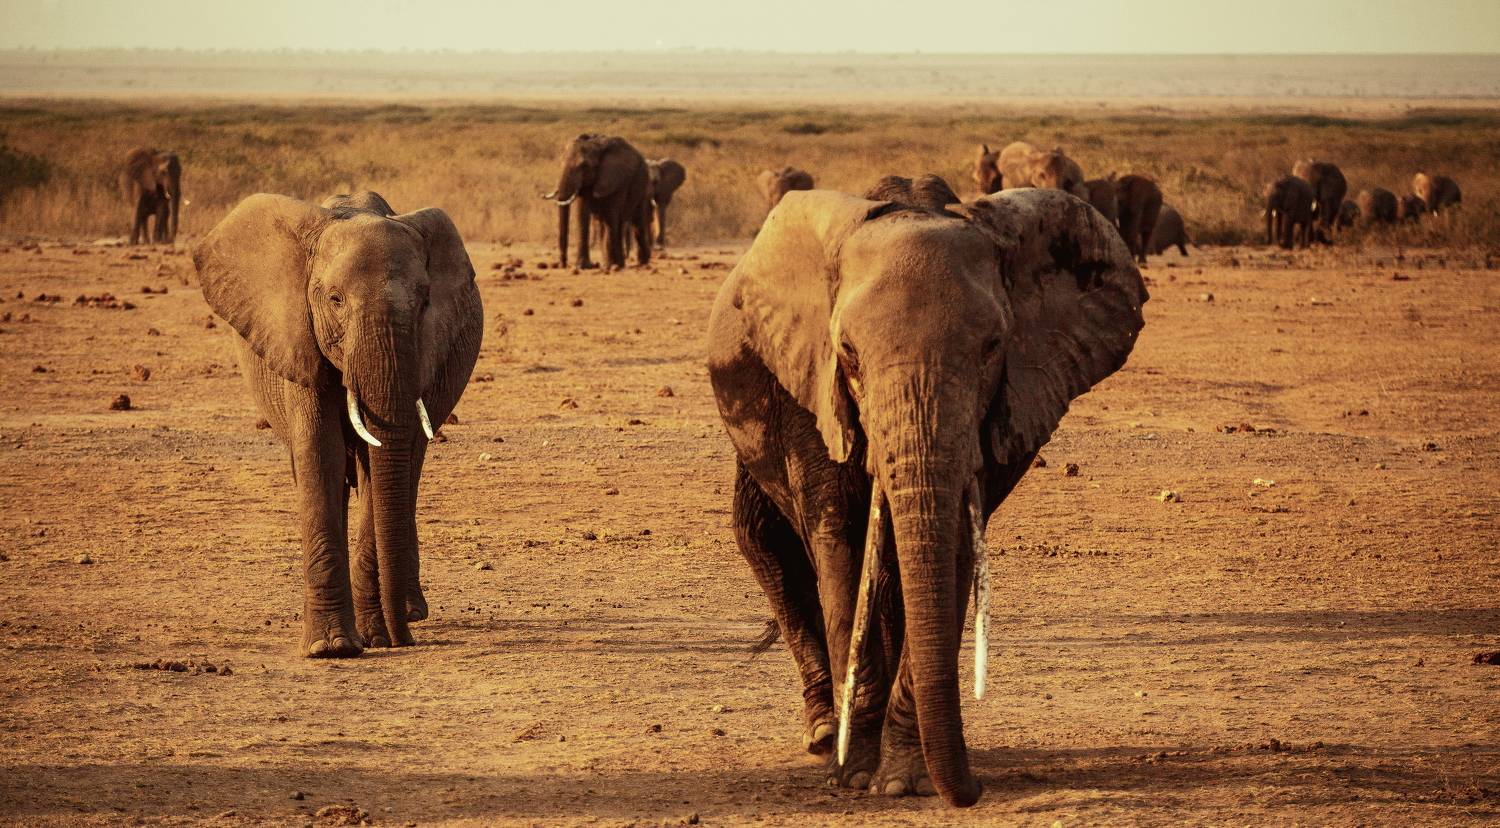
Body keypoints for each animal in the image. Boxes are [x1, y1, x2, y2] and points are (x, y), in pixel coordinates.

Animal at [193, 191, 483, 657]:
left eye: (425, 302)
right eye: (335, 300)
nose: (403, 641)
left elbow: (380, 463)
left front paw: (374, 637)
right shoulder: (298, 340)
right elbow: (320, 454)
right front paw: (331, 648)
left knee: (406, 472)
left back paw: (407, 610)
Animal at [542, 134, 652, 270]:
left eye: (584, 166)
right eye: (561, 162)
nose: (563, 264)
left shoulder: (618, 179)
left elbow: (611, 214)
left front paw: (607, 266)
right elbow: (582, 214)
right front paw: (583, 266)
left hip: (643, 185)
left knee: (636, 222)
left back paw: (641, 263)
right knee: (615, 223)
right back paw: (618, 264)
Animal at [705, 181, 1147, 807]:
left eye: (993, 347)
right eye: (847, 351)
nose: (974, 789)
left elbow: (952, 549)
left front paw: (902, 781)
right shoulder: (810, 390)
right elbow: (839, 544)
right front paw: (851, 775)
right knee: (765, 543)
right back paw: (824, 734)